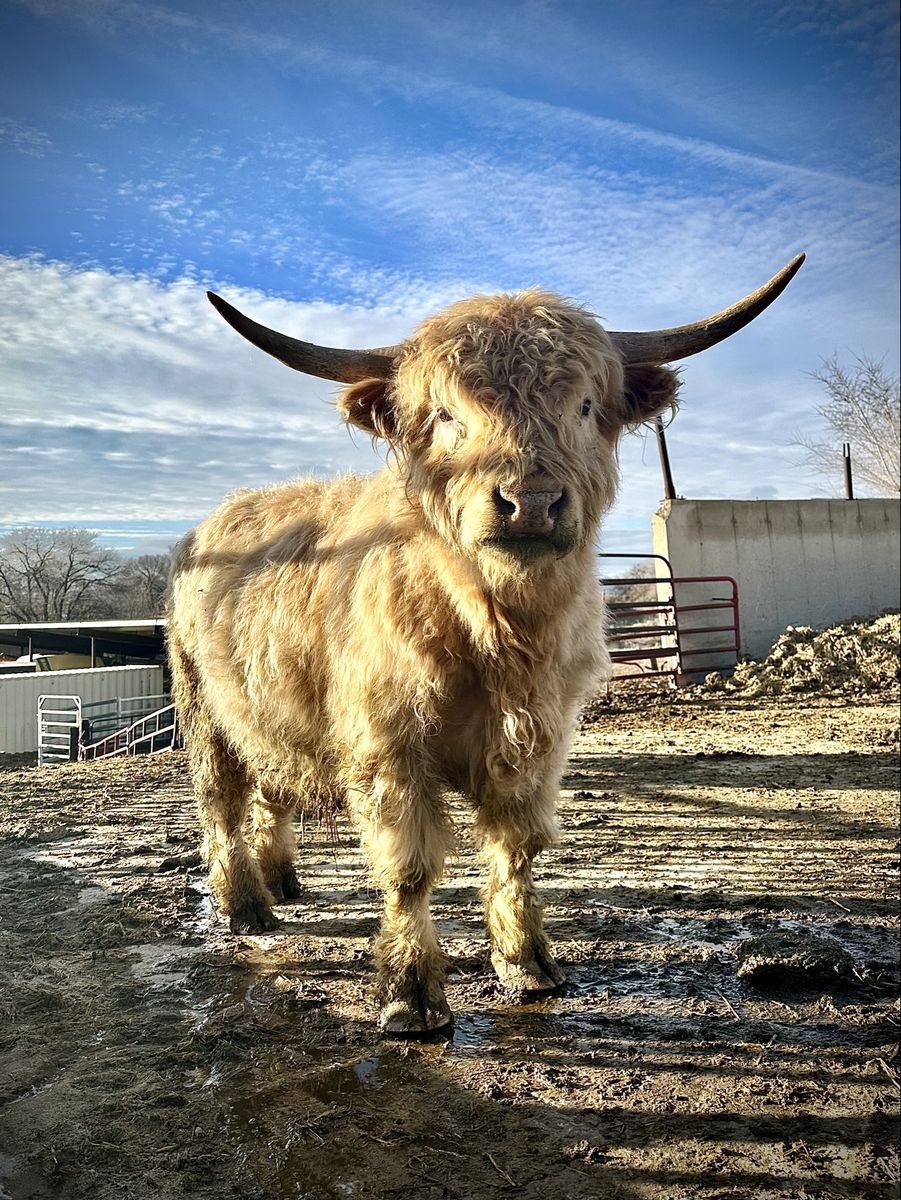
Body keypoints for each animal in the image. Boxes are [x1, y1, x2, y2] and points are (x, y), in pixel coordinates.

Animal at [167, 254, 804, 1034]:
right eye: (445, 415)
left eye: (584, 406)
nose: (529, 502)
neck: (499, 635)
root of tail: (217, 519)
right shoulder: (389, 749)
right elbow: (408, 869)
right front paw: (411, 993)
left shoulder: (538, 741)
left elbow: (517, 850)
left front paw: (527, 963)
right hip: (202, 712)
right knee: (221, 805)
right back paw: (246, 908)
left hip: (269, 711)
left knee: (271, 791)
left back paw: (283, 881)